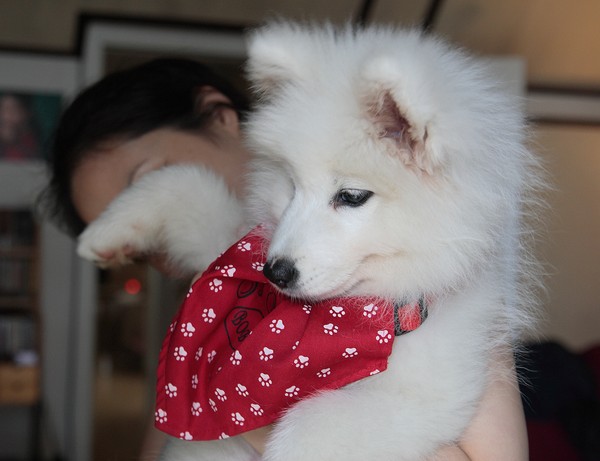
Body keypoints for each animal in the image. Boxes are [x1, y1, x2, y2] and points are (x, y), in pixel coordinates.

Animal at [77, 21, 540, 460]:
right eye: (291, 186)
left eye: (351, 196)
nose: (274, 272)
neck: (332, 320)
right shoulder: (233, 237)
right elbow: (187, 183)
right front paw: (106, 230)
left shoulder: (422, 394)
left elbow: (307, 428)